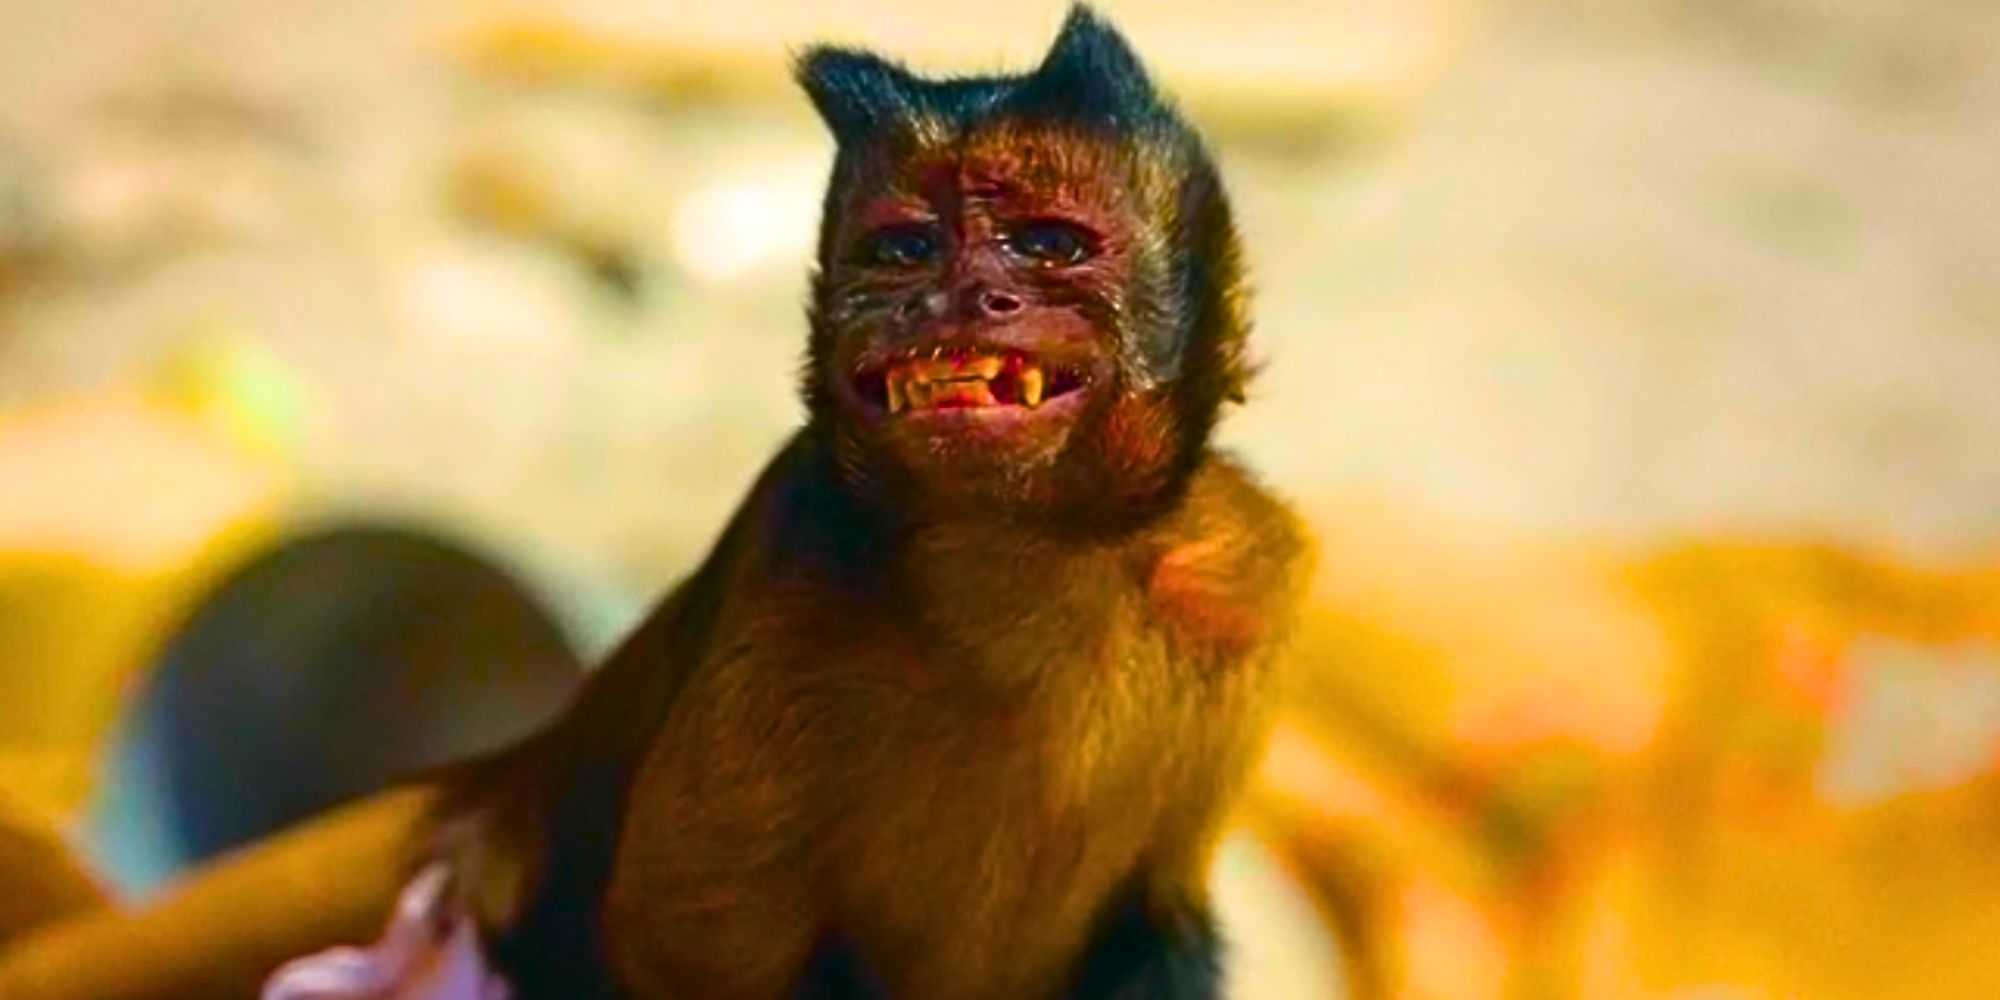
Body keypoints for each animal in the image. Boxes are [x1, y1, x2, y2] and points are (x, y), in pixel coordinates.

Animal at [0, 7, 1311, 999]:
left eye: (1044, 244)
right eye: (903, 252)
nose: (960, 298)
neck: (1021, 555)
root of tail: (504, 790)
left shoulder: (1242, 578)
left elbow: (1158, 922)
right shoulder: (787, 595)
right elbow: (690, 951)